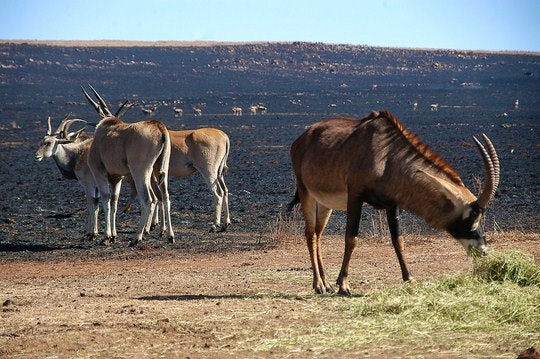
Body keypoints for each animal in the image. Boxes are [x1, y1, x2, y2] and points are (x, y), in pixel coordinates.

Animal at [82, 86, 173, 246]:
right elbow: (114, 202)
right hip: (161, 170)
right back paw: (170, 236)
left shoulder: (100, 173)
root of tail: (159, 126)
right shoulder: (116, 179)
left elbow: (106, 200)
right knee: (165, 197)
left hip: (140, 172)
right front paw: (113, 236)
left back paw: (137, 237)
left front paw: (106, 236)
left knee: (148, 199)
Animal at [288, 109, 500, 296]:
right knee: (310, 235)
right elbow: (351, 239)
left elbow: (398, 240)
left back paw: (326, 284)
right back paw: (319, 285)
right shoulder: (355, 197)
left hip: (324, 203)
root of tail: (301, 139)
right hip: (306, 193)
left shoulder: (392, 204)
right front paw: (344, 285)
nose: (482, 250)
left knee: (318, 234)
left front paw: (409, 278)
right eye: (472, 215)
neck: (386, 155)